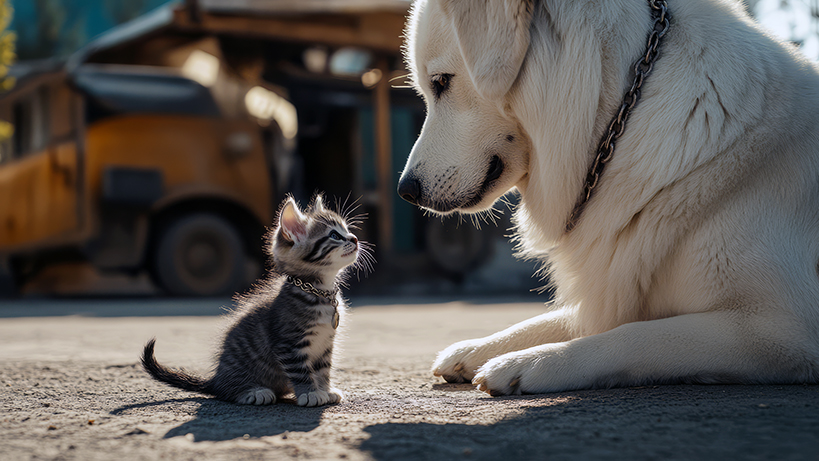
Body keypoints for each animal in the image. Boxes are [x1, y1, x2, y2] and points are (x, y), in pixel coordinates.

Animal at [141, 194, 372, 406]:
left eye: (346, 230)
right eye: (334, 235)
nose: (354, 239)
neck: (320, 292)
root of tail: (216, 379)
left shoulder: (325, 344)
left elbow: (323, 369)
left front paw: (325, 389)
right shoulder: (289, 343)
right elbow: (300, 371)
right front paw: (310, 393)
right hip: (237, 370)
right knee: (228, 392)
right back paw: (253, 391)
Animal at [398, 0, 819, 396]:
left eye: (440, 82)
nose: (406, 190)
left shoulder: (782, 330)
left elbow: (636, 336)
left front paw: (531, 362)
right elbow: (552, 319)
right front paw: (480, 347)